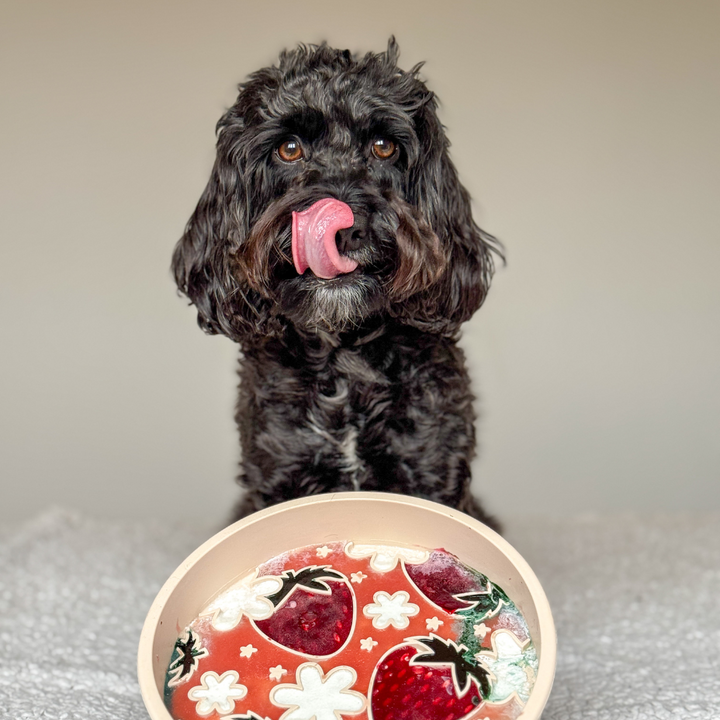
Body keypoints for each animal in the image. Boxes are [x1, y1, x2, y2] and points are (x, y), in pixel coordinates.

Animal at [173, 39, 500, 528]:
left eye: (384, 147)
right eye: (289, 148)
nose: (345, 228)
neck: (343, 359)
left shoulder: (430, 468)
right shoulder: (280, 471)